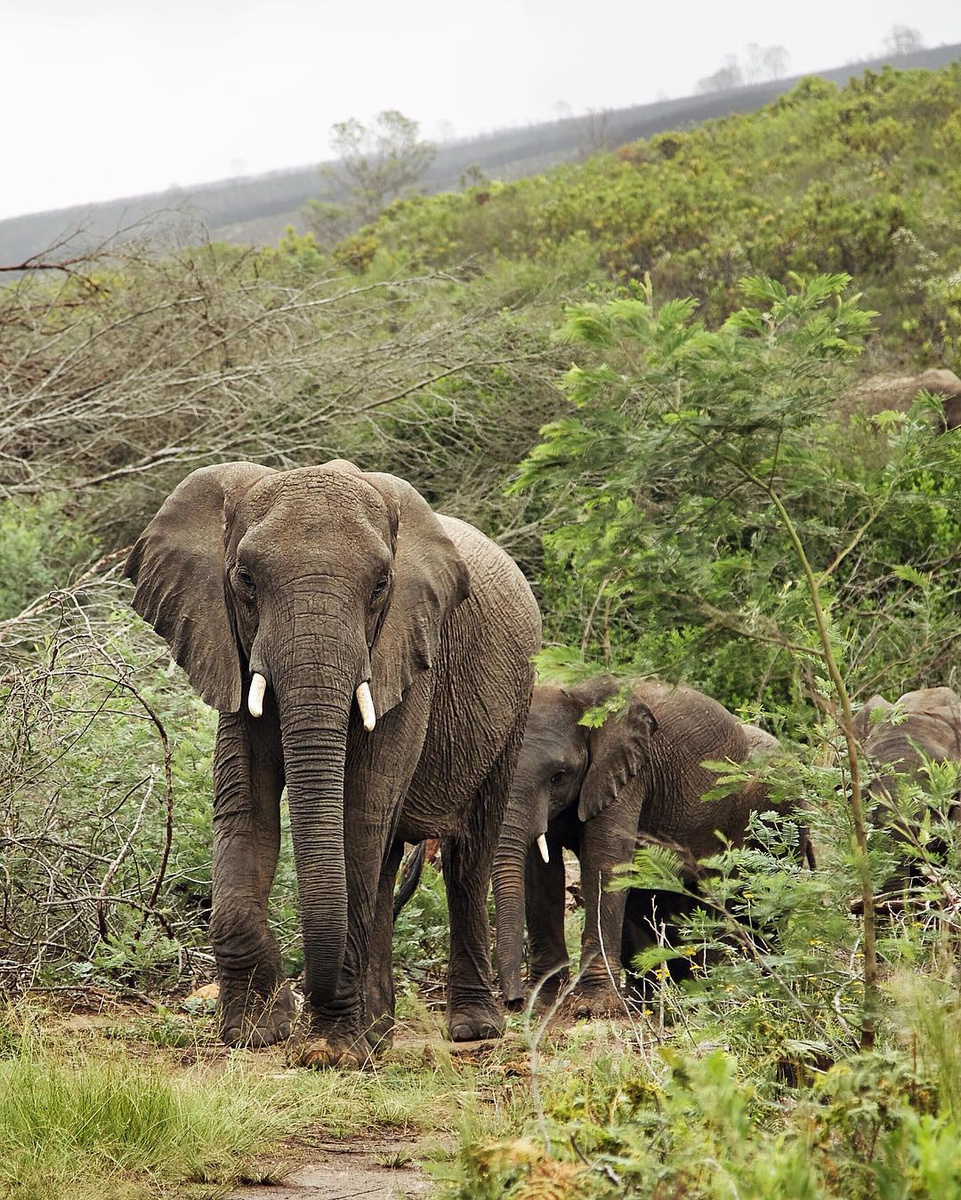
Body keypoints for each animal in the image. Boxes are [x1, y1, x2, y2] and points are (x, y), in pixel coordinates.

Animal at [125, 460, 540, 1067]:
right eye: (245, 579)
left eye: (381, 586)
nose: (301, 1005)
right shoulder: (233, 648)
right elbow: (246, 805)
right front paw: (258, 1031)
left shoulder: (406, 652)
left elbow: (360, 811)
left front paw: (331, 1049)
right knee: (389, 859)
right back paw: (381, 1032)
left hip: (516, 706)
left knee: (468, 856)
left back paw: (470, 1029)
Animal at [492, 676, 788, 1012]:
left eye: (558, 776)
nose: (513, 1001)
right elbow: (540, 873)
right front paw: (543, 1002)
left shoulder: (629, 776)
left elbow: (604, 861)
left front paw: (594, 1006)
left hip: (738, 809)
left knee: (719, 890)